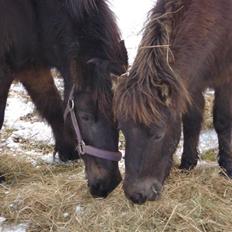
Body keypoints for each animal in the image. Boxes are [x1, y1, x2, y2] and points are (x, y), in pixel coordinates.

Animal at [0, 0, 128, 198]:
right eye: (85, 116)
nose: (109, 184)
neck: (32, 13)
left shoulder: (31, 66)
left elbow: (53, 108)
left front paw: (66, 151)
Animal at [114, 0, 232, 203]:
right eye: (124, 131)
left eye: (158, 134)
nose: (136, 195)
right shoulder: (191, 85)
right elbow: (191, 122)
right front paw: (187, 165)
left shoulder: (225, 79)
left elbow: (222, 121)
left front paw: (226, 169)